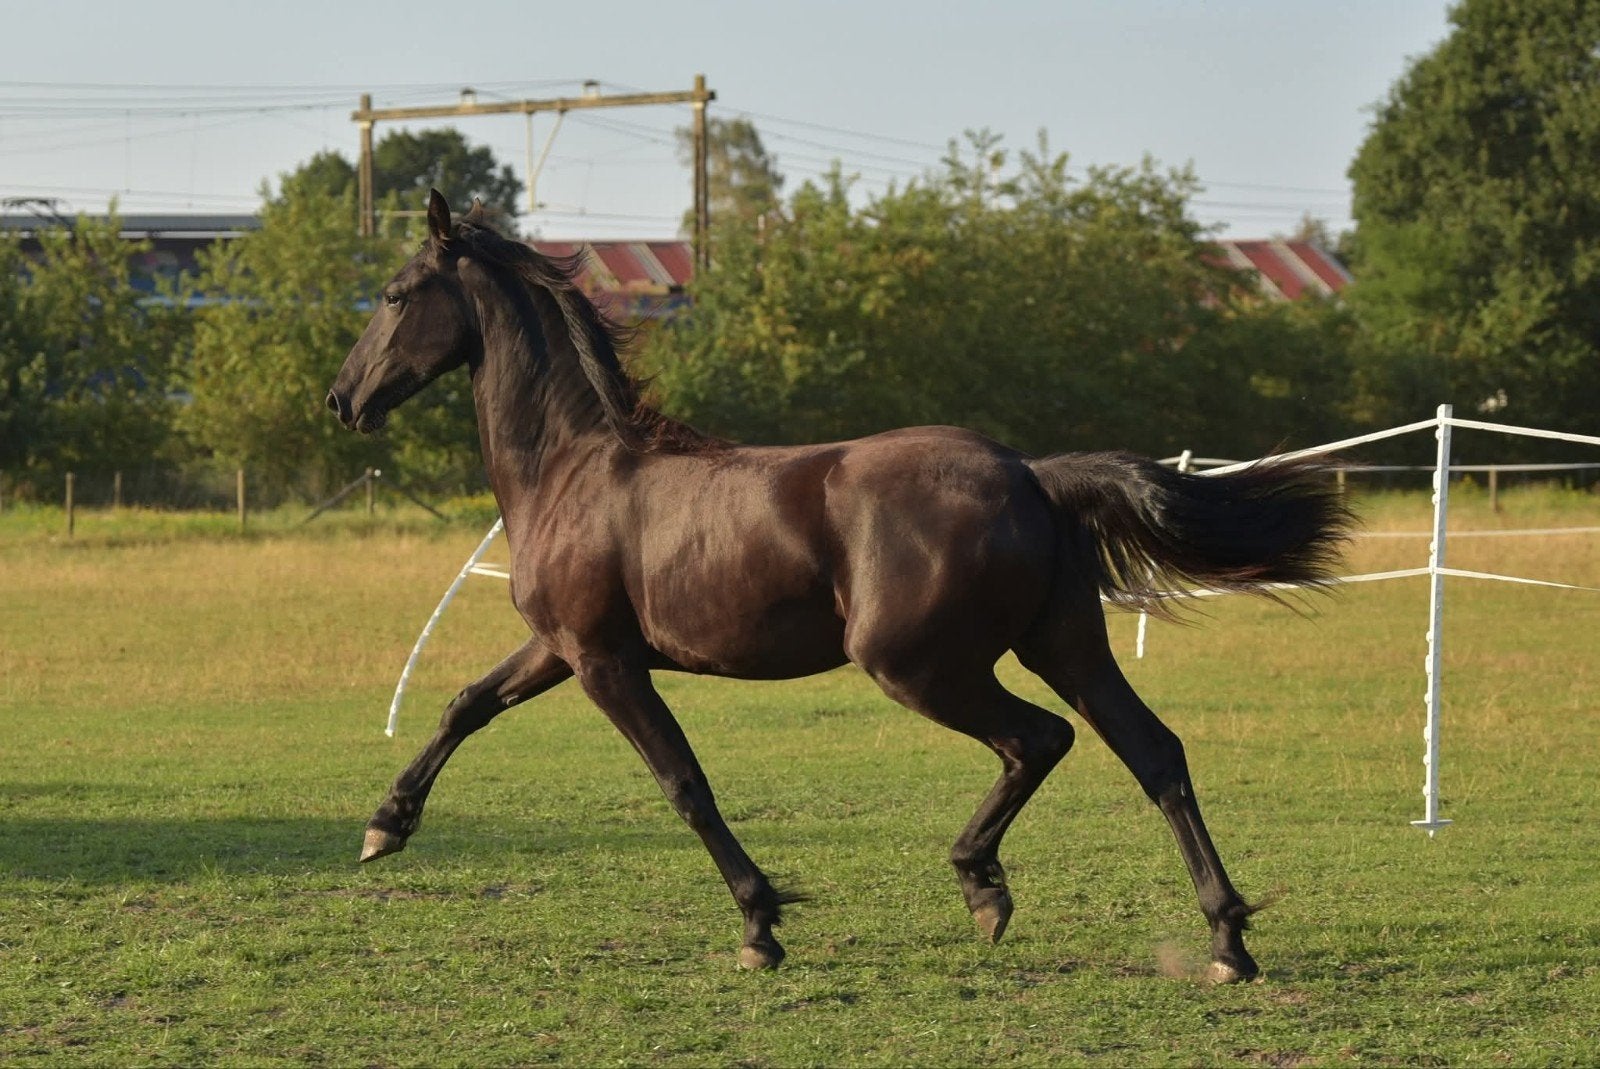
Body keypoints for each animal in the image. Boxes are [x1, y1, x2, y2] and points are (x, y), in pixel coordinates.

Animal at [327, 189, 1351, 982]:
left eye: (397, 294)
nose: (343, 398)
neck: (574, 469)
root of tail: (1028, 472)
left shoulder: (605, 661)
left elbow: (683, 781)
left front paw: (759, 926)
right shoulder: (560, 645)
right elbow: (466, 704)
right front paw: (384, 826)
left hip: (918, 664)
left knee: (1040, 738)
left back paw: (984, 886)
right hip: (1064, 643)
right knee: (1153, 752)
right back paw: (1225, 940)